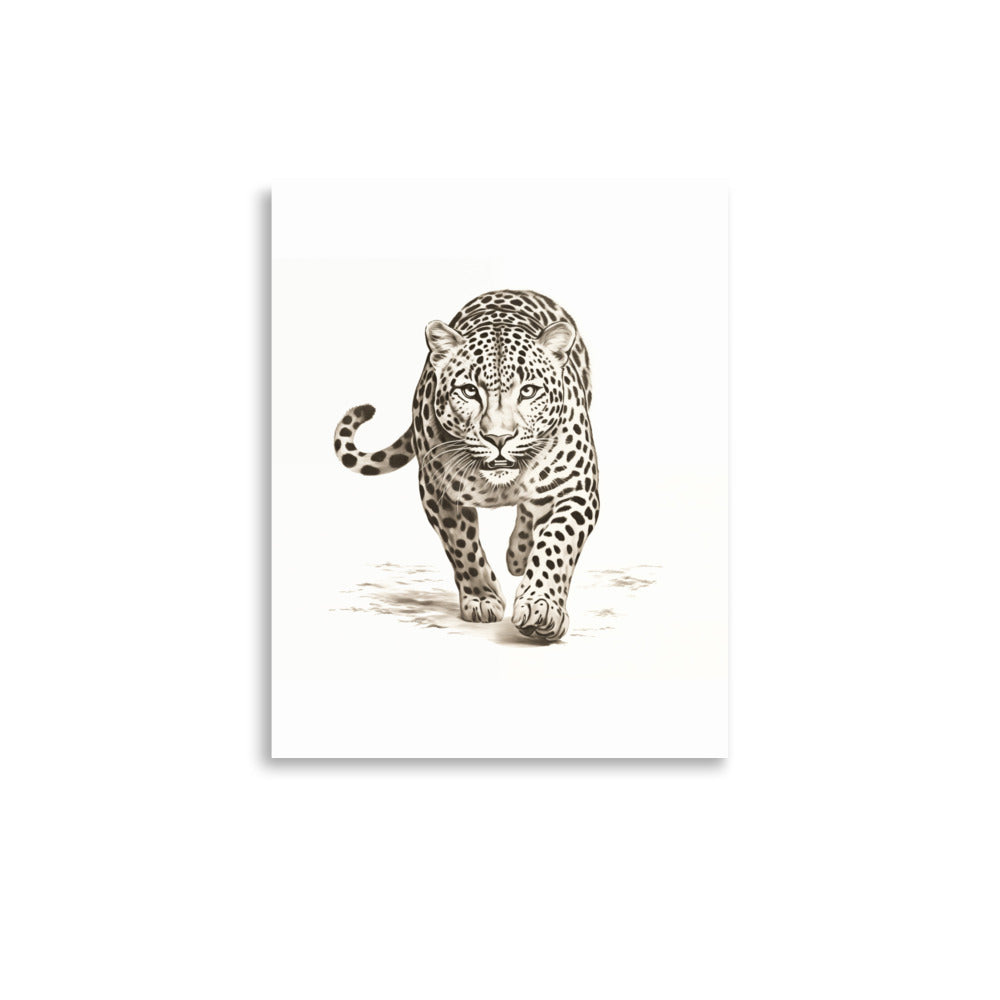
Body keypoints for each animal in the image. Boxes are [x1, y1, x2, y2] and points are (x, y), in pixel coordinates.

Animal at [335, 289, 599, 642]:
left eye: (529, 390)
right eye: (469, 391)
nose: (499, 437)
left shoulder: (576, 489)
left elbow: (556, 544)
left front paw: (541, 607)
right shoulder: (438, 493)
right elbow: (462, 546)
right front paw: (482, 599)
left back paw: (519, 557)